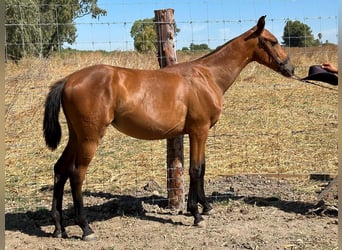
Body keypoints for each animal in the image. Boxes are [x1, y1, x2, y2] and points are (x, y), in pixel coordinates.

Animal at [42, 16, 294, 240]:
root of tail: (68, 80)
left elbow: (202, 167)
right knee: (76, 174)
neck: (206, 76)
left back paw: (58, 228)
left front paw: (206, 207)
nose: (290, 68)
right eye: (272, 41)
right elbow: (195, 169)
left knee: (60, 169)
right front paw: (196, 214)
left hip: (76, 137)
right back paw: (85, 228)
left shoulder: (198, 133)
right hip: (90, 138)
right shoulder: (199, 131)